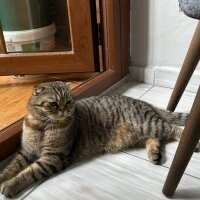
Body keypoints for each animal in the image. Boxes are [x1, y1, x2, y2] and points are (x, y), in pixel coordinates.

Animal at [0, 81, 197, 197]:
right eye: (53, 104)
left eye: (69, 102)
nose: (64, 110)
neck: (42, 126)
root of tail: (146, 103)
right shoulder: (25, 152)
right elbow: (12, 166)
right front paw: (3, 177)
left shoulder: (53, 157)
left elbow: (29, 172)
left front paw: (10, 185)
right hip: (140, 134)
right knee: (156, 138)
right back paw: (154, 154)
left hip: (147, 124)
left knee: (172, 129)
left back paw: (193, 143)